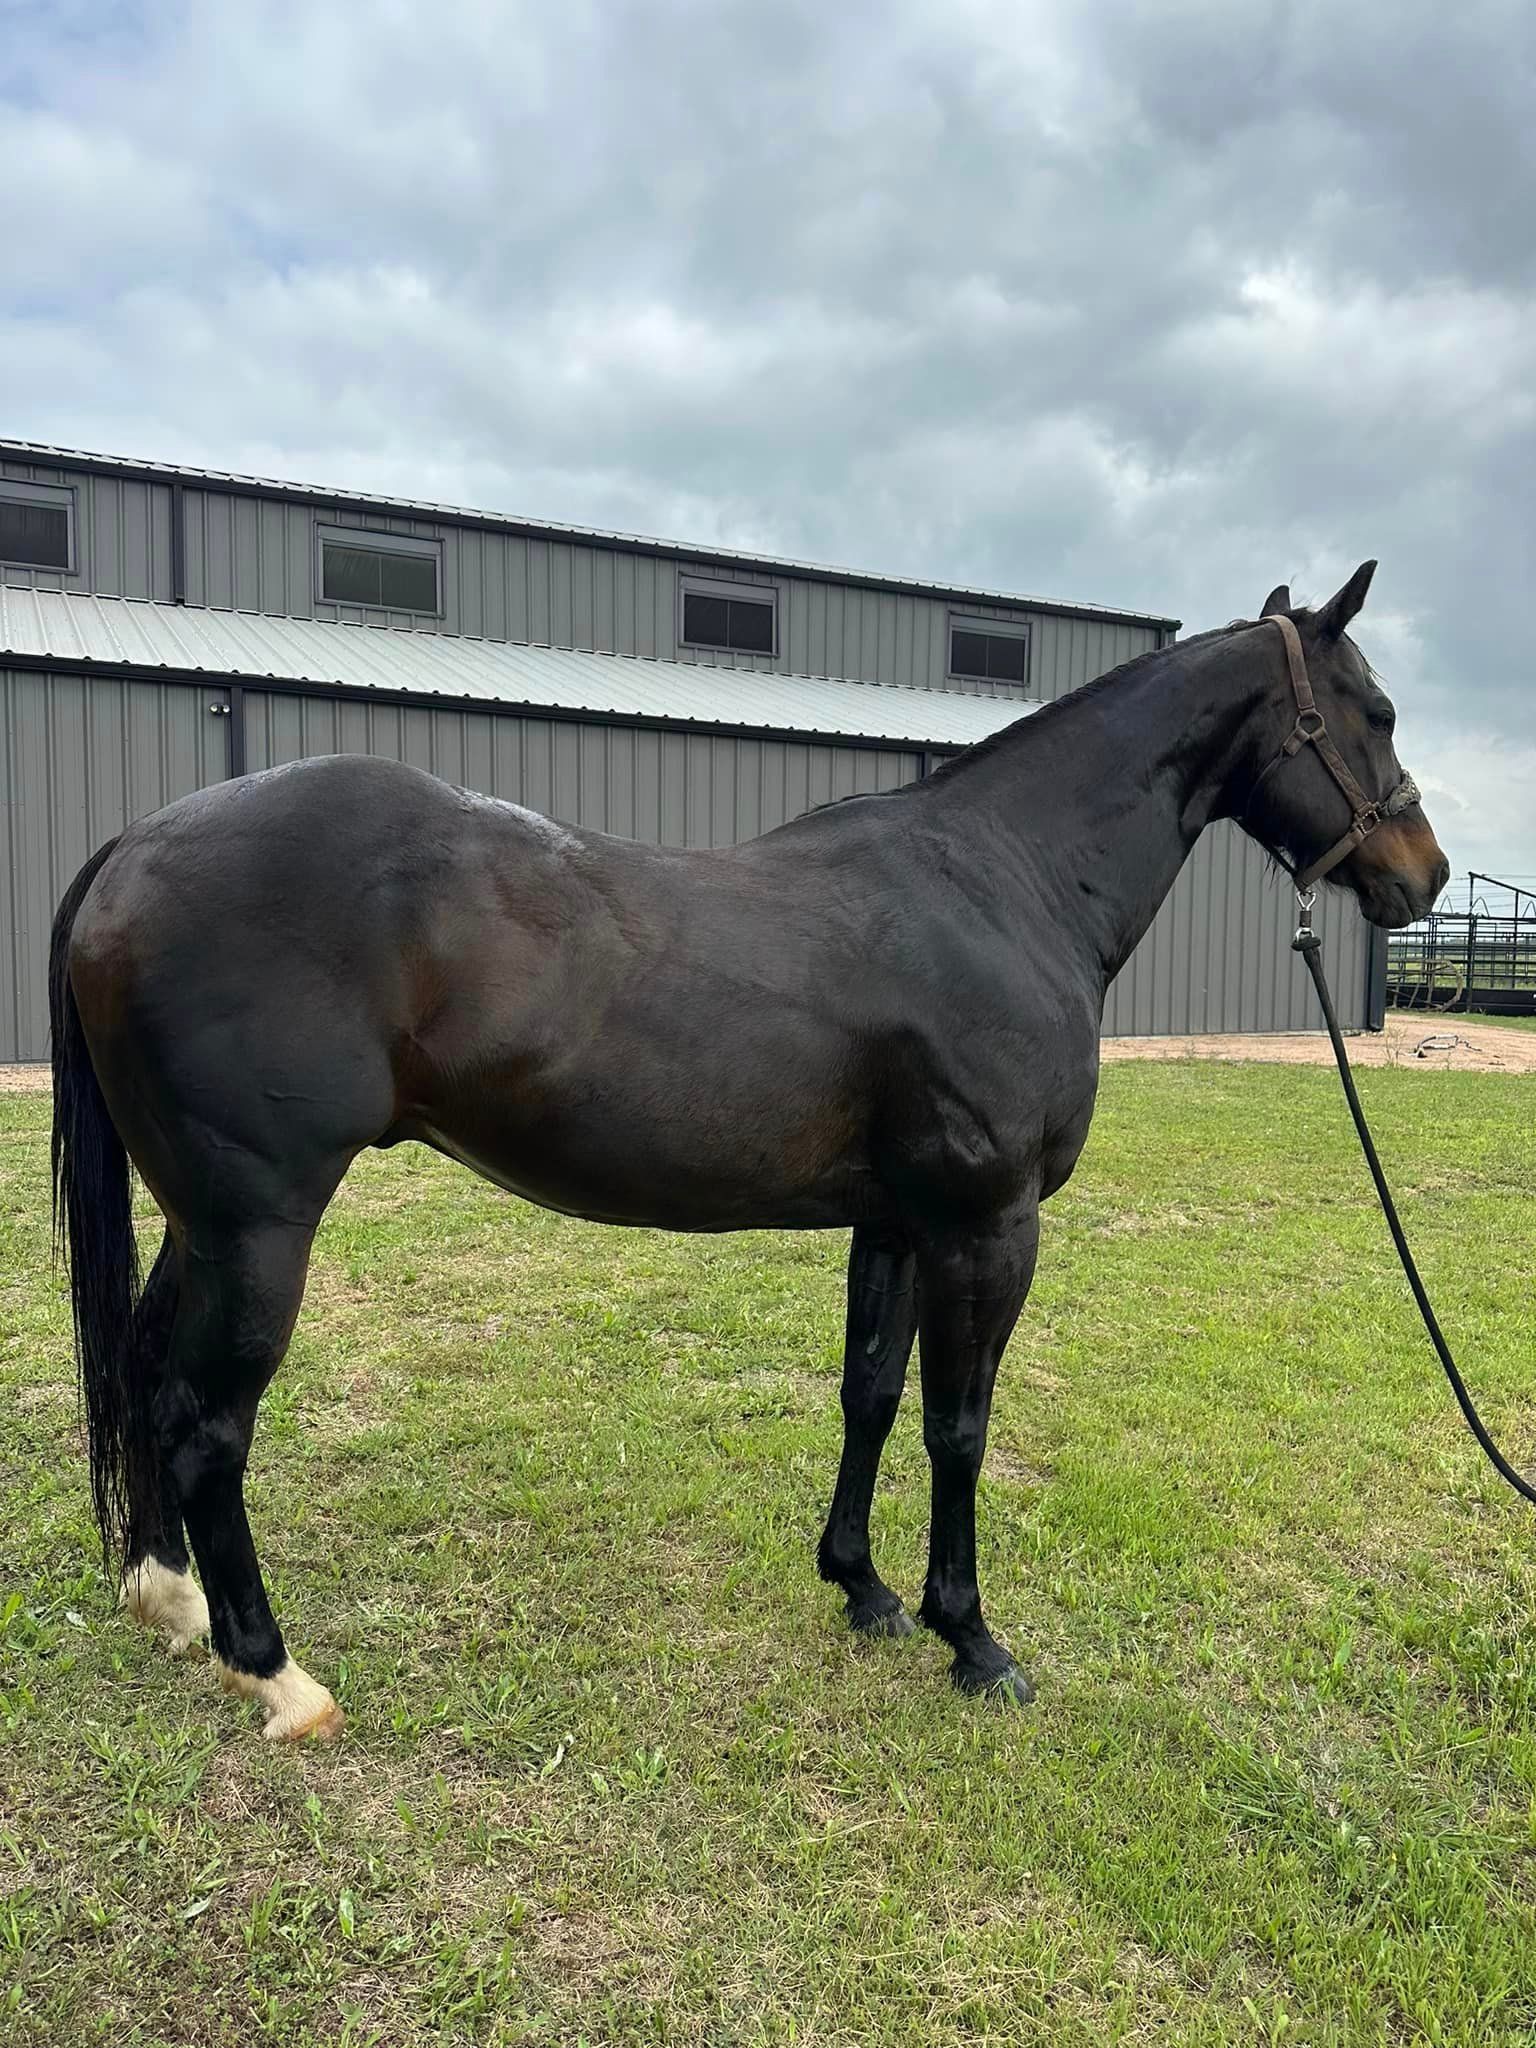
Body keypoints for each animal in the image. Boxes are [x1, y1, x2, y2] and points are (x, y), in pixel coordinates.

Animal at [48, 562, 1447, 1739]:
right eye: (1374, 709)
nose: (1423, 875)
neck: (1005, 881)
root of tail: (137, 843)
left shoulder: (898, 1219)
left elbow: (871, 1392)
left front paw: (862, 1588)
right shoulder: (987, 1224)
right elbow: (960, 1425)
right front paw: (972, 1636)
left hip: (202, 1222)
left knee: (147, 1374)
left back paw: (169, 1601)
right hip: (260, 1228)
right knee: (207, 1421)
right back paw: (275, 1670)